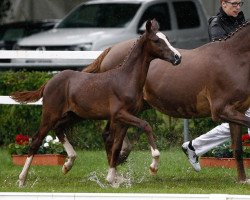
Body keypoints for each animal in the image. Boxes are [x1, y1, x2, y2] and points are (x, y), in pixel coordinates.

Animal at [10, 19, 181, 187]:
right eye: (157, 40)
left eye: (167, 38)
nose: (177, 57)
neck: (126, 79)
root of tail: (49, 82)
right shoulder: (120, 114)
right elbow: (145, 126)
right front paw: (153, 166)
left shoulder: (124, 119)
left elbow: (117, 146)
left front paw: (112, 179)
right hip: (50, 114)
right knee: (36, 140)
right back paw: (22, 179)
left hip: (74, 115)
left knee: (59, 128)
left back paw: (67, 164)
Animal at [83, 21, 250, 183]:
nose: (177, 58)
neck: (233, 57)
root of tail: (110, 50)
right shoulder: (222, 110)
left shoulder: (236, 110)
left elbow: (238, 149)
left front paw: (242, 180)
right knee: (110, 136)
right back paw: (115, 173)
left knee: (111, 136)